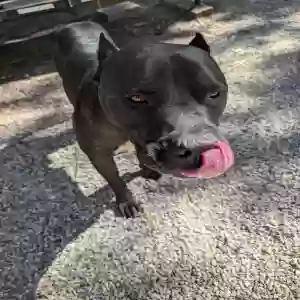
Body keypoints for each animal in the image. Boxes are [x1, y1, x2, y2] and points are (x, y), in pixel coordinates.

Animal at [53, 20, 234, 218]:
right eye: (137, 98)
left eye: (214, 94)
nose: (198, 146)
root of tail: (77, 22)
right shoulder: (97, 152)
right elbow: (114, 178)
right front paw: (127, 201)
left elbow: (140, 150)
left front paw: (147, 168)